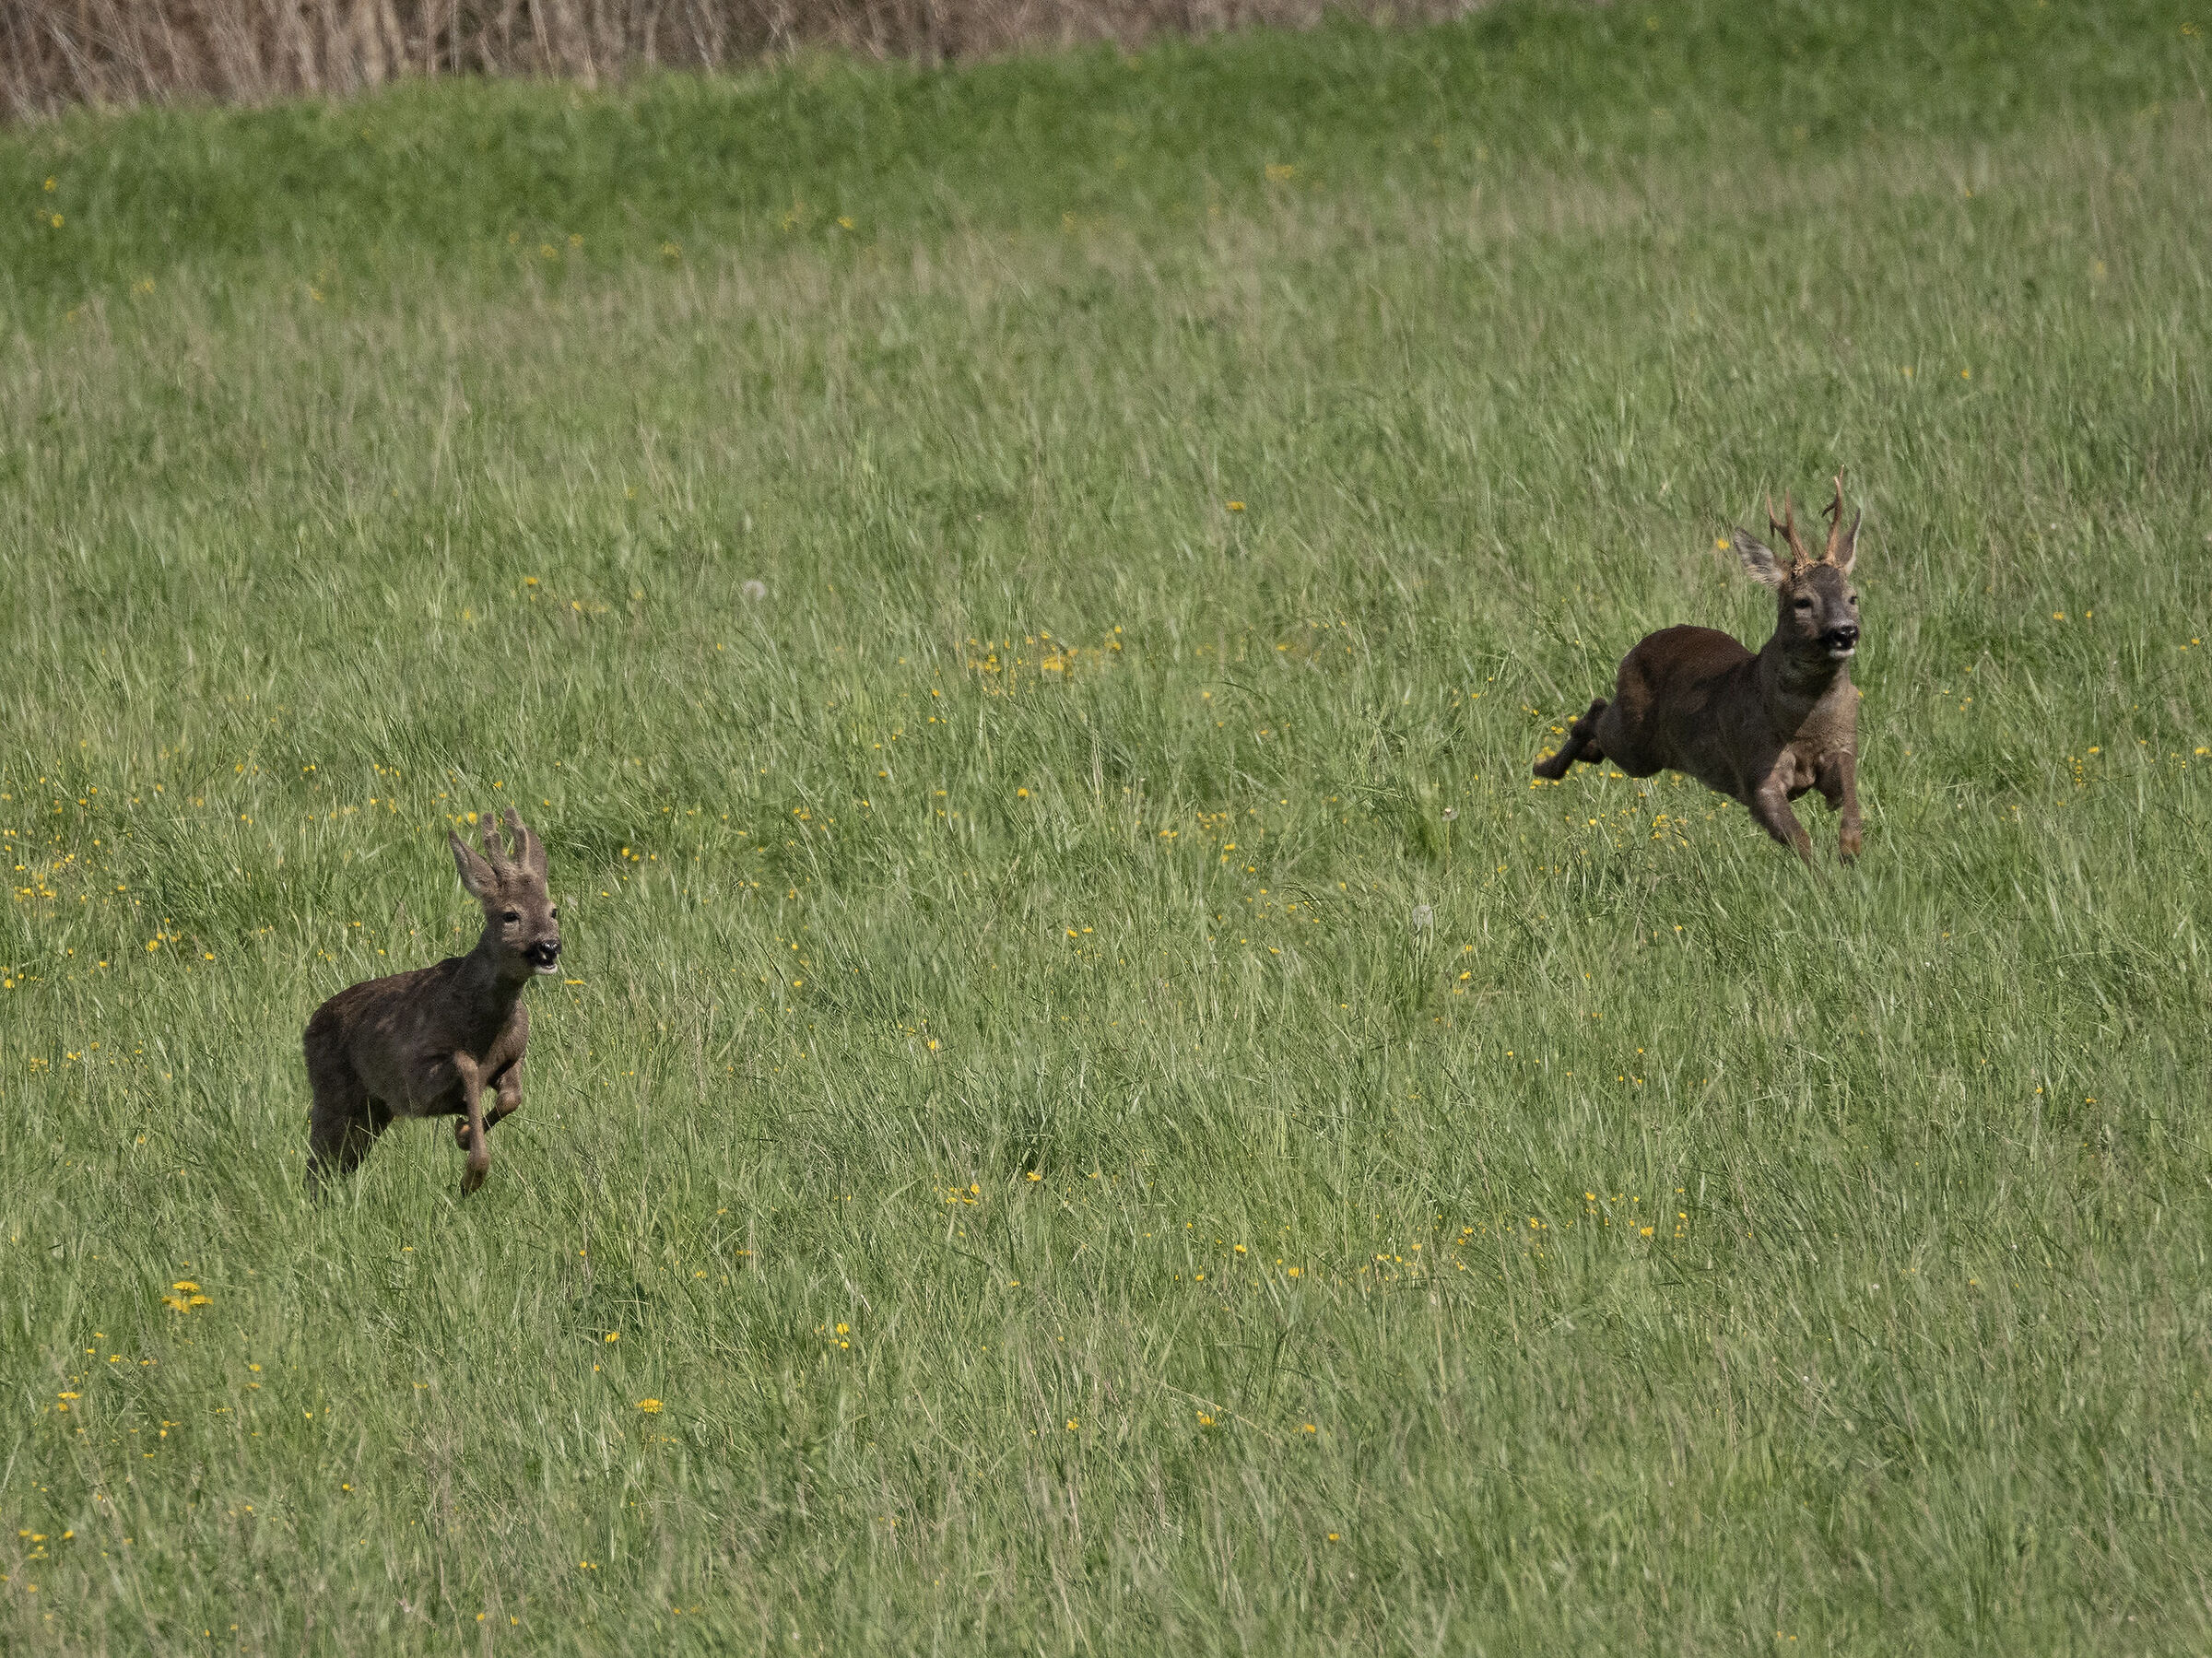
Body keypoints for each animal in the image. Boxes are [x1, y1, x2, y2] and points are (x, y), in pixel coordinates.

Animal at [303, 807, 562, 1195]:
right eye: (510, 915)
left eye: (553, 910)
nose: (549, 946)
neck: (485, 1027)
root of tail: (307, 1028)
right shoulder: (417, 1077)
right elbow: (467, 1070)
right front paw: (472, 1172)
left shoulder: (515, 1054)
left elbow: (511, 1098)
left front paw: (464, 1133)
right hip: (334, 1095)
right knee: (316, 1164)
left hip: (372, 1112)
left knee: (334, 1165)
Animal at [1531, 475, 1864, 863]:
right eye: (1802, 602)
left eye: (1853, 596)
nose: (1844, 632)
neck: (1805, 722)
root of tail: (1639, 646)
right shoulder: (1756, 770)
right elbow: (1800, 841)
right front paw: (1824, 875)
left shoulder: (1844, 746)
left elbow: (1851, 807)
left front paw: (1849, 854)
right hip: (1637, 747)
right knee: (1597, 716)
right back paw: (1544, 767)